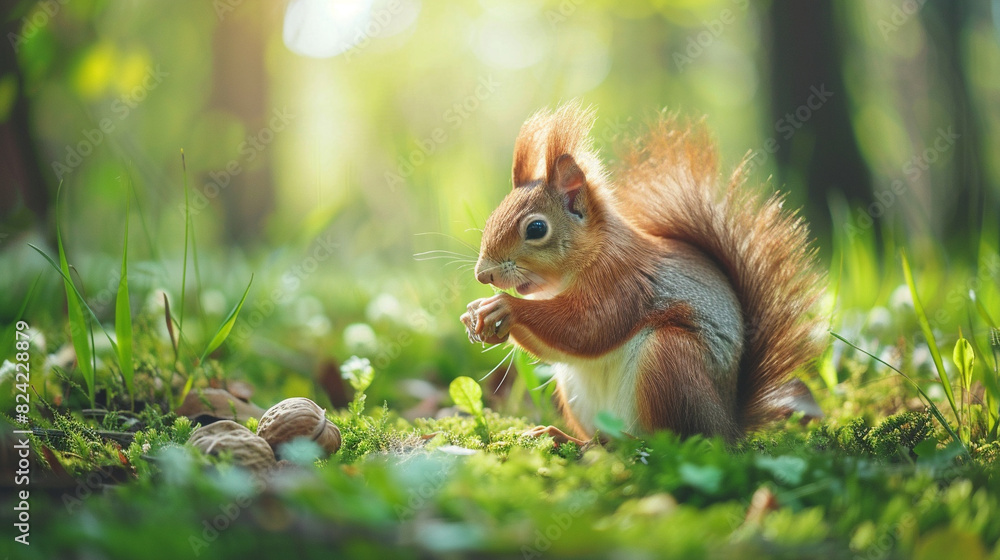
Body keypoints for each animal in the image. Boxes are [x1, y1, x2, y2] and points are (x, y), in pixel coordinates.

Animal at [458, 100, 820, 442]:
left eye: (536, 228)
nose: (483, 275)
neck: (587, 259)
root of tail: (729, 425)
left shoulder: (623, 281)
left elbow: (585, 328)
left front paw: (504, 307)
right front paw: (475, 315)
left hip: (670, 360)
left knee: (666, 439)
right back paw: (563, 437)